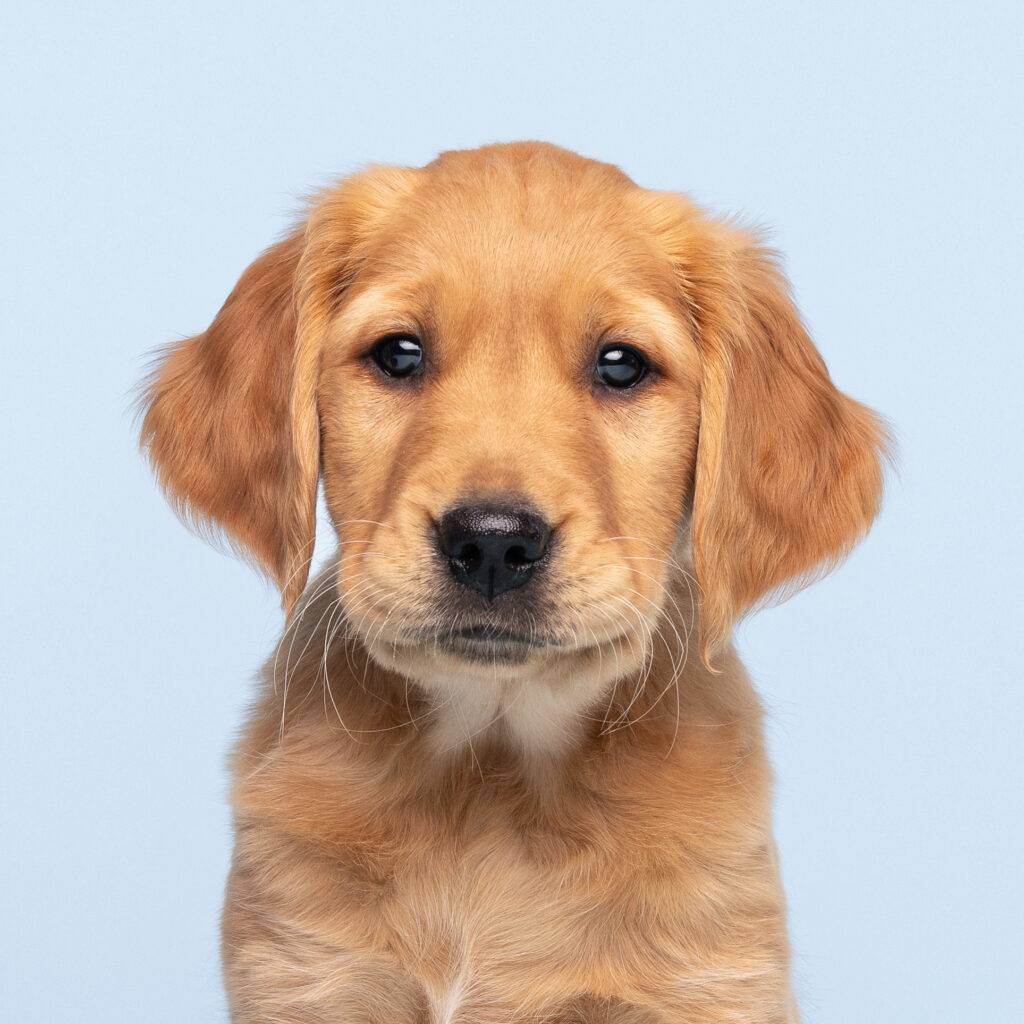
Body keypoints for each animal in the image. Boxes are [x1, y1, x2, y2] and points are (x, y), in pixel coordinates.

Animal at [140, 144, 884, 1024]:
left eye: (621, 365)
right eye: (398, 354)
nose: (493, 542)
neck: (491, 768)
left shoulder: (707, 983)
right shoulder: (303, 971)